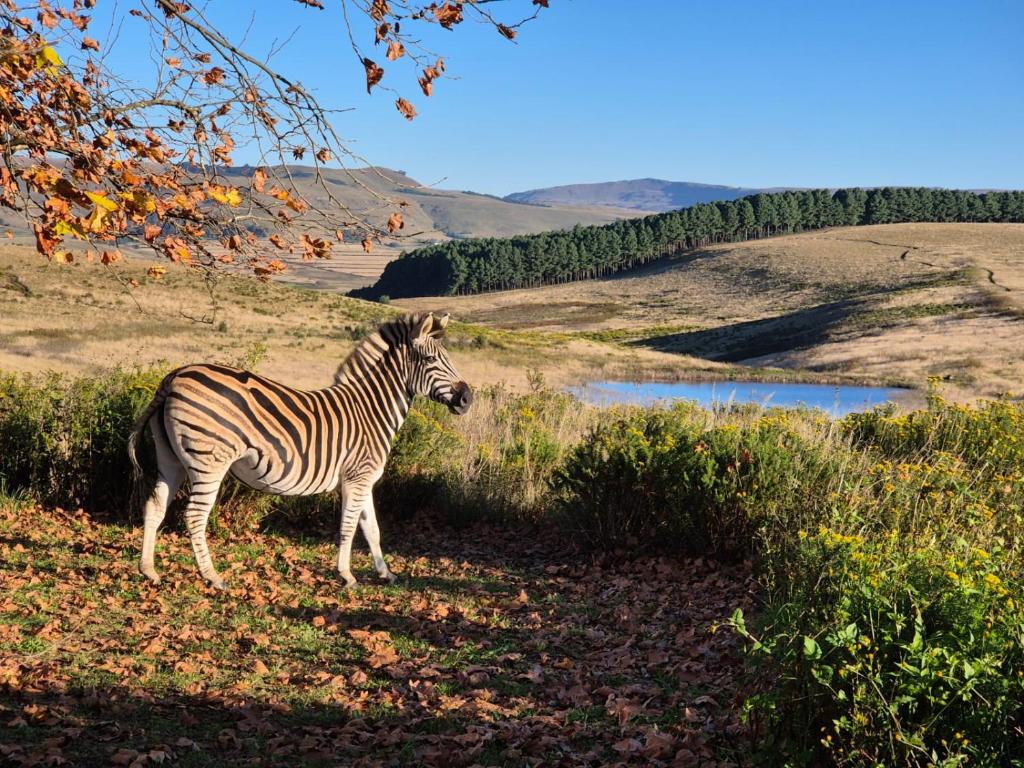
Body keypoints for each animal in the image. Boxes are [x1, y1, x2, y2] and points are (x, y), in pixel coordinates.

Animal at [127, 312, 473, 590]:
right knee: (195, 516)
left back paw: (149, 571)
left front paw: (385, 573)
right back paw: (212, 576)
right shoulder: (357, 478)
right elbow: (349, 528)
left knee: (154, 506)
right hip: (209, 461)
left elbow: (372, 529)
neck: (371, 410)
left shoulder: (364, 480)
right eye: (430, 361)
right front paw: (347, 576)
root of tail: (174, 377)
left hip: (171, 458)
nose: (468, 399)